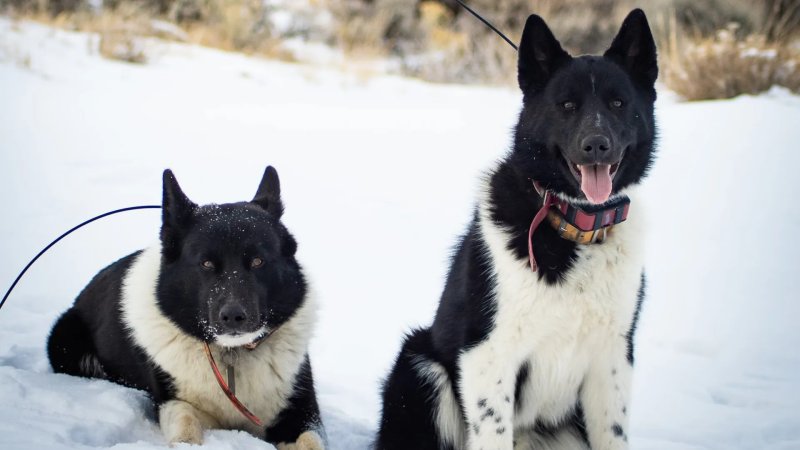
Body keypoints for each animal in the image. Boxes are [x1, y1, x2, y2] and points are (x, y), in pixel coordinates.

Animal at [46, 167, 324, 448]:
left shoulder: (301, 413)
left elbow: (311, 441)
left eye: (258, 261)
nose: (233, 317)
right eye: (206, 263)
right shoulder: (174, 402)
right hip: (65, 343)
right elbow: (186, 423)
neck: (231, 354)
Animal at [378, 7, 660, 450]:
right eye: (567, 105)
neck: (574, 226)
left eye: (618, 103)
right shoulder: (488, 353)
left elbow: (612, 434)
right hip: (421, 365)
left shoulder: (612, 359)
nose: (597, 144)